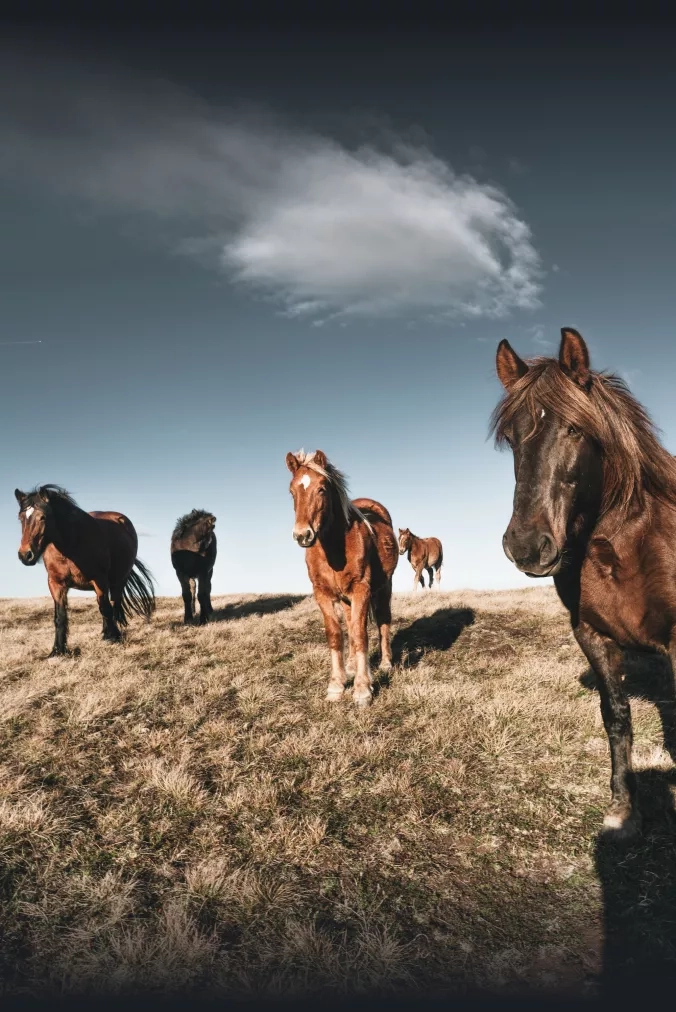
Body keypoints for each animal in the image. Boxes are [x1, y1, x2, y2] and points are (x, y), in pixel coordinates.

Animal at [15, 485, 155, 657]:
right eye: (21, 518)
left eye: (43, 517)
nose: (25, 555)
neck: (71, 545)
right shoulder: (56, 584)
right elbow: (60, 617)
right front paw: (58, 650)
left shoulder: (99, 579)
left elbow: (105, 608)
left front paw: (113, 638)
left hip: (118, 580)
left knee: (113, 604)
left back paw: (111, 633)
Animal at [286, 449, 398, 707]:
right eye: (292, 491)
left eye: (321, 489)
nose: (302, 535)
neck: (334, 548)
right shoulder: (322, 593)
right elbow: (336, 634)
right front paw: (336, 686)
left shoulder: (361, 590)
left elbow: (360, 635)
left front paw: (362, 690)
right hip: (347, 600)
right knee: (351, 625)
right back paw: (351, 667)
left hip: (383, 588)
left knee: (383, 621)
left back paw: (386, 664)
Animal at [492, 326, 676, 838]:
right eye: (511, 438)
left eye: (575, 428)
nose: (526, 546)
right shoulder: (592, 636)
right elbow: (616, 718)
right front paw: (623, 810)